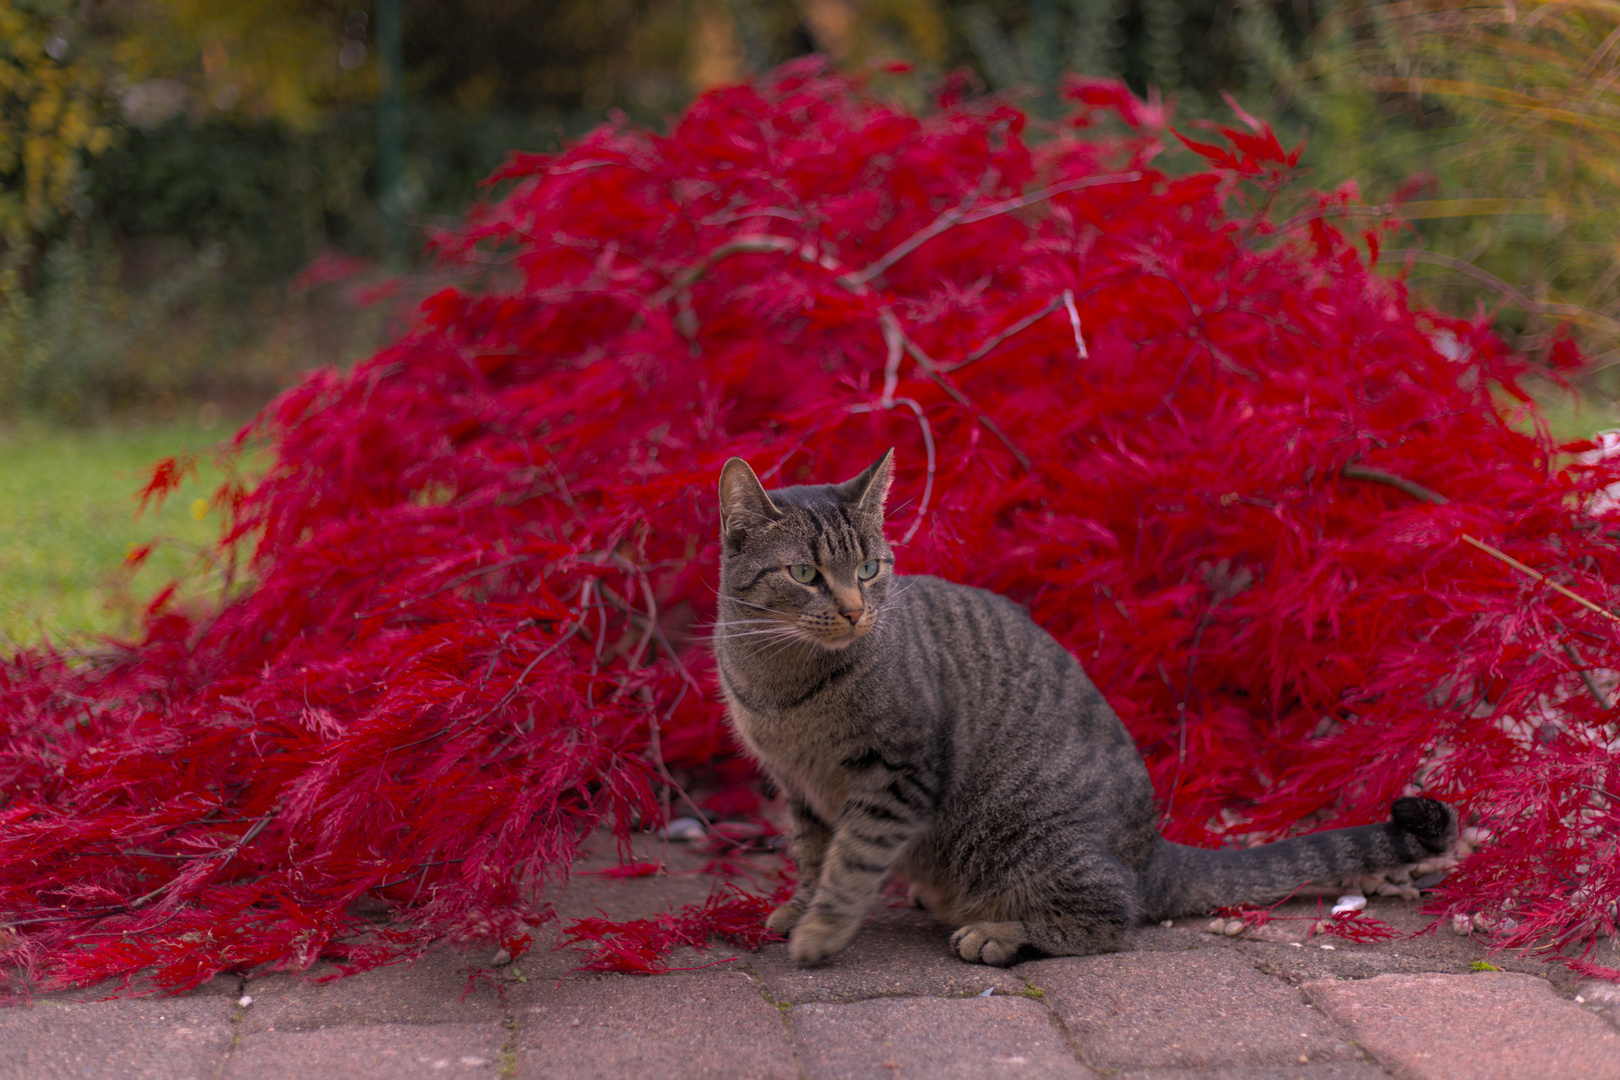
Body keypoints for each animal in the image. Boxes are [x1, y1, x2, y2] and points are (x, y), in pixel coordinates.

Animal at [716, 453, 1451, 965]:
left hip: (1031, 834)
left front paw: (823, 929)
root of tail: (1153, 851)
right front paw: (800, 908)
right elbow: (814, 856)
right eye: (805, 575)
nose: (854, 609)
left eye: (868, 570)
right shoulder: (801, 789)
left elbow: (851, 860)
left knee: (1109, 920)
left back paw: (997, 934)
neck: (783, 685)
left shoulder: (899, 770)